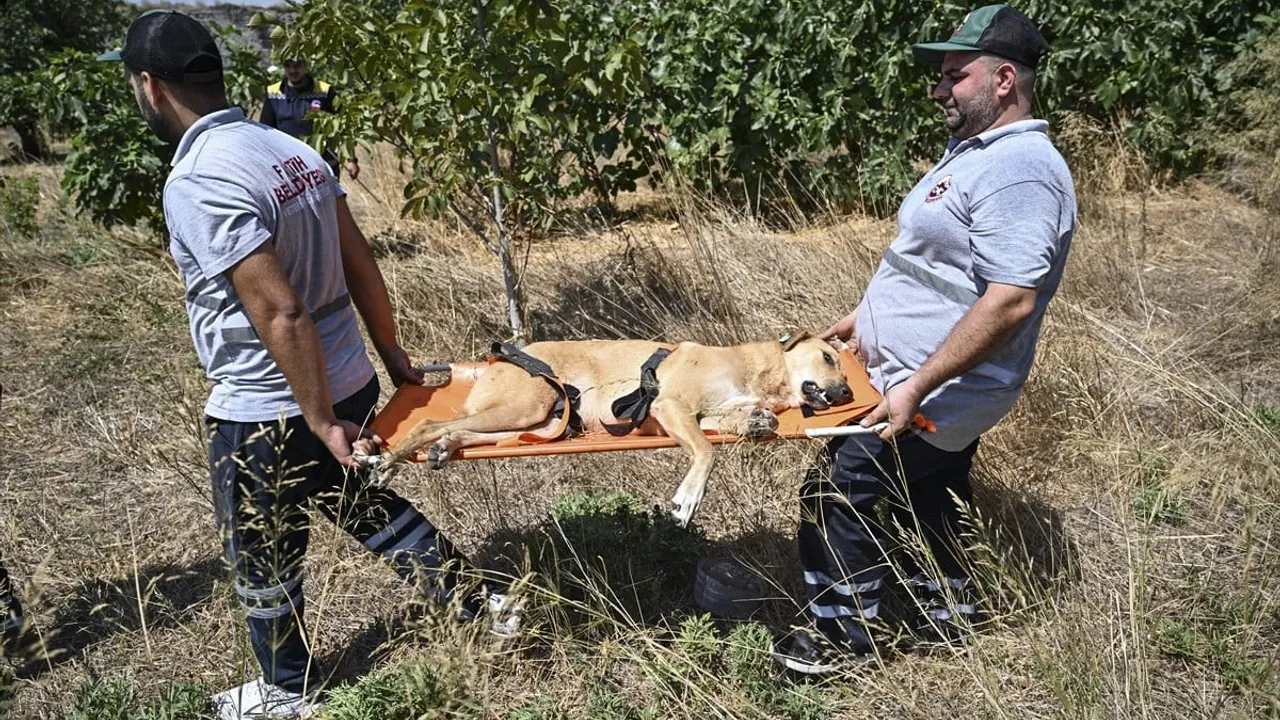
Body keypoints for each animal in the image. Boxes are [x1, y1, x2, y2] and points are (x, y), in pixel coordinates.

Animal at [373, 333, 849, 525]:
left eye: (842, 366)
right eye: (828, 357)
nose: (846, 391)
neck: (756, 372)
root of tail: (495, 361)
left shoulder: (706, 416)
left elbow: (735, 424)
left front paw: (757, 420)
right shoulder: (670, 406)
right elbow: (706, 452)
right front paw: (688, 499)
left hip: (537, 421)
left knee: (463, 432)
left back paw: (444, 447)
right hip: (526, 405)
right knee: (429, 422)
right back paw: (387, 461)